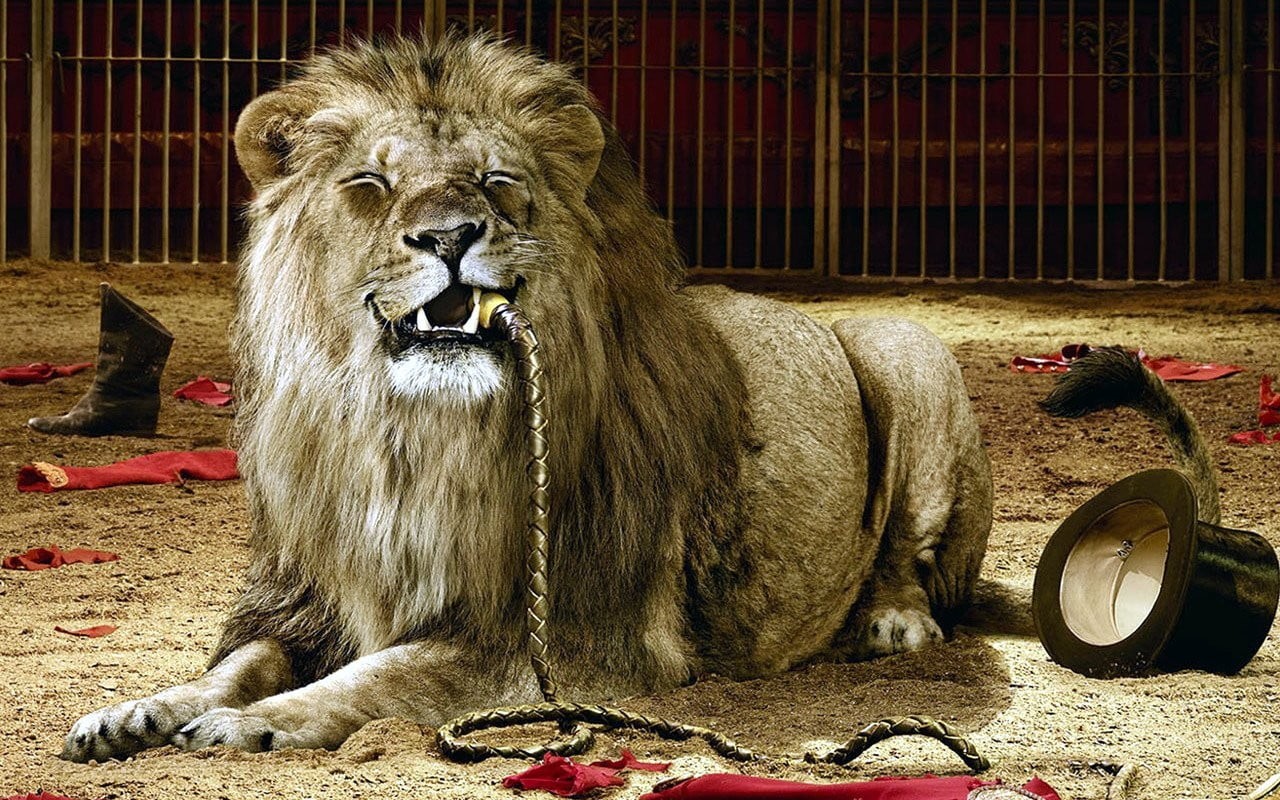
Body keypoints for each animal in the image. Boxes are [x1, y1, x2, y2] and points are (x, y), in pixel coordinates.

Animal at [62, 34, 992, 762]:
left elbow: (382, 676)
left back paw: (894, 625)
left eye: (495, 179)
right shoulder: (307, 598)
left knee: (911, 553)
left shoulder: (573, 638)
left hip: (904, 348)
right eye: (370, 184)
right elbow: (237, 663)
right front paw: (140, 711)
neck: (408, 438)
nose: (449, 235)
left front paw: (255, 723)